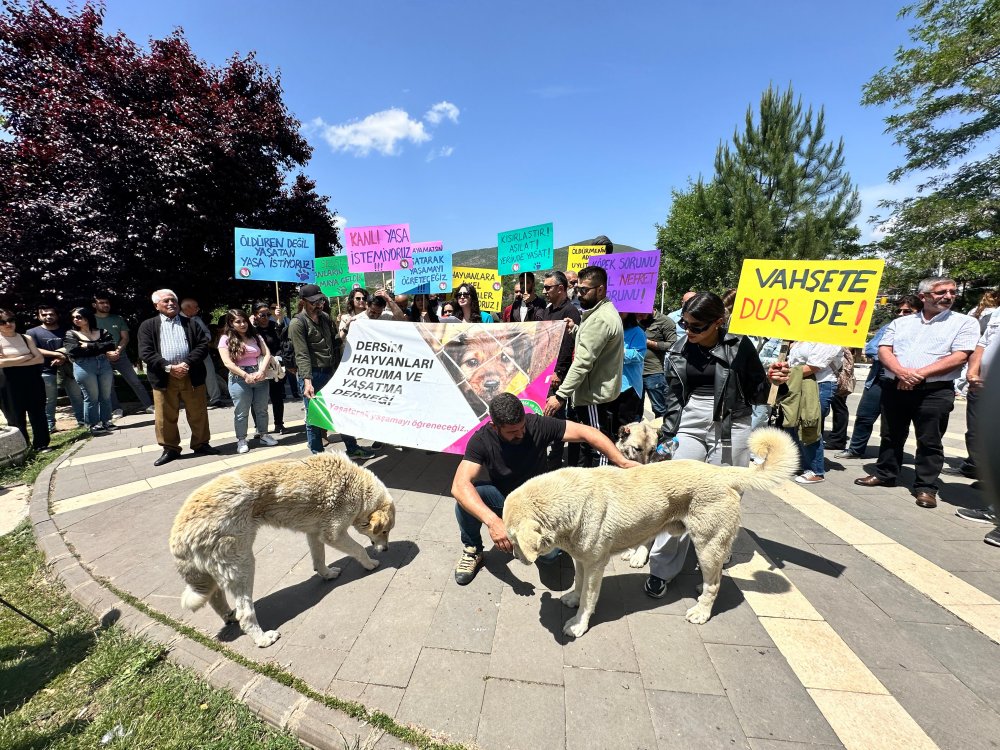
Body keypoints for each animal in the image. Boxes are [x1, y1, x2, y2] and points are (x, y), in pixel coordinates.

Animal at [168, 450, 394, 648]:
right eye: (384, 532)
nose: (386, 549)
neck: (358, 488)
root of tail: (178, 535)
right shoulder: (334, 534)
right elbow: (359, 549)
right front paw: (371, 564)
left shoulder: (315, 534)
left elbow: (319, 559)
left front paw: (327, 574)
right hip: (242, 565)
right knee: (245, 614)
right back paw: (262, 639)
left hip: (219, 570)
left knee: (216, 599)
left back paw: (229, 616)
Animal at [504, 428, 800, 640]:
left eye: (513, 539)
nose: (515, 556)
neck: (573, 504)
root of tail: (722, 472)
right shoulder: (581, 560)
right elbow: (577, 583)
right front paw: (573, 599)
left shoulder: (596, 565)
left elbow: (589, 597)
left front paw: (578, 624)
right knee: (714, 578)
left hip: (707, 545)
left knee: (715, 583)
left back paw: (701, 611)